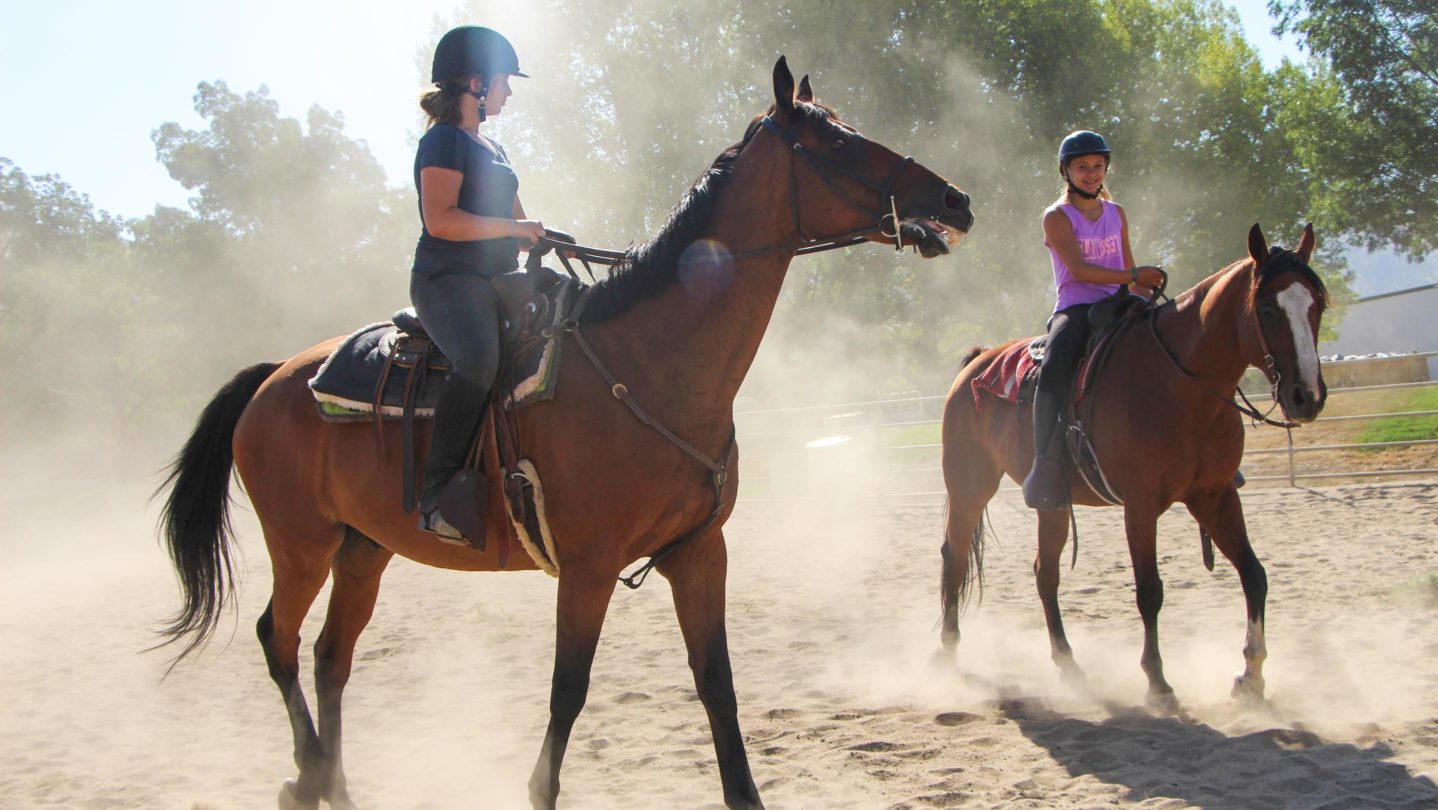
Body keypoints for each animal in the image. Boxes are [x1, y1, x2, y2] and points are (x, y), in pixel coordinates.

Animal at [157, 58, 977, 810]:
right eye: (834, 140)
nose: (955, 199)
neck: (647, 363)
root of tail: (277, 376)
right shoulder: (587, 568)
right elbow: (568, 692)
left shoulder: (699, 552)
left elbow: (717, 684)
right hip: (302, 543)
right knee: (279, 640)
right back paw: (306, 778)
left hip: (364, 548)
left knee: (332, 657)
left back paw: (334, 785)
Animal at [943, 221, 1322, 710]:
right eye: (1269, 309)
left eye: (1317, 305)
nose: (1307, 396)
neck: (1179, 383)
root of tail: (978, 360)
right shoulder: (1140, 507)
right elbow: (1149, 591)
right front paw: (1158, 683)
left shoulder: (1214, 495)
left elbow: (1254, 575)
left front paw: (1250, 677)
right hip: (968, 486)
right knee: (954, 555)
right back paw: (946, 653)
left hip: (1052, 504)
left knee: (1045, 573)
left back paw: (1069, 666)